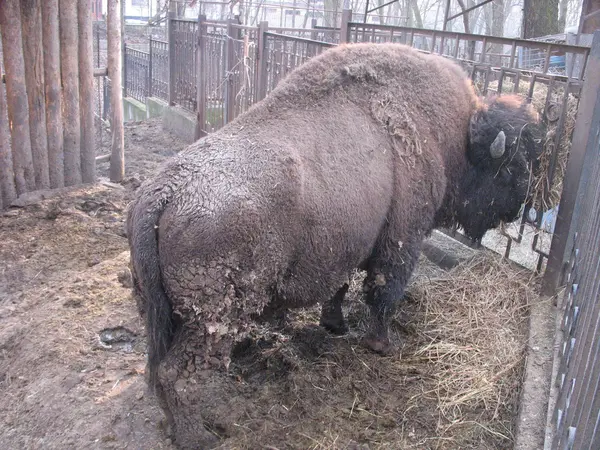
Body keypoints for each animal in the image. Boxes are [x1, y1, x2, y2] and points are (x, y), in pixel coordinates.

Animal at [125, 42, 540, 446]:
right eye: (515, 167)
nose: (524, 206)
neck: (450, 135)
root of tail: (163, 192)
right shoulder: (402, 239)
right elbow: (384, 292)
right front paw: (381, 344)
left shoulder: (344, 246)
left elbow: (339, 287)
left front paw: (335, 325)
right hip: (214, 319)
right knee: (176, 373)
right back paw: (199, 437)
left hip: (159, 310)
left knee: (157, 369)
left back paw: (173, 426)